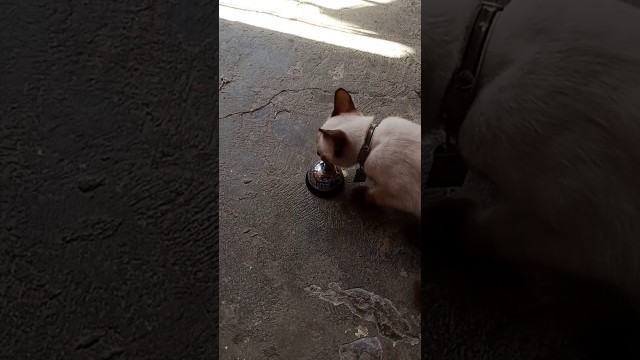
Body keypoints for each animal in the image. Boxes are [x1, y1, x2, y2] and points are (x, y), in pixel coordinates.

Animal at [316, 88, 420, 218]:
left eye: (320, 154)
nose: (317, 153)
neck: (370, 143)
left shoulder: (409, 200)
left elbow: (374, 195)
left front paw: (358, 194)